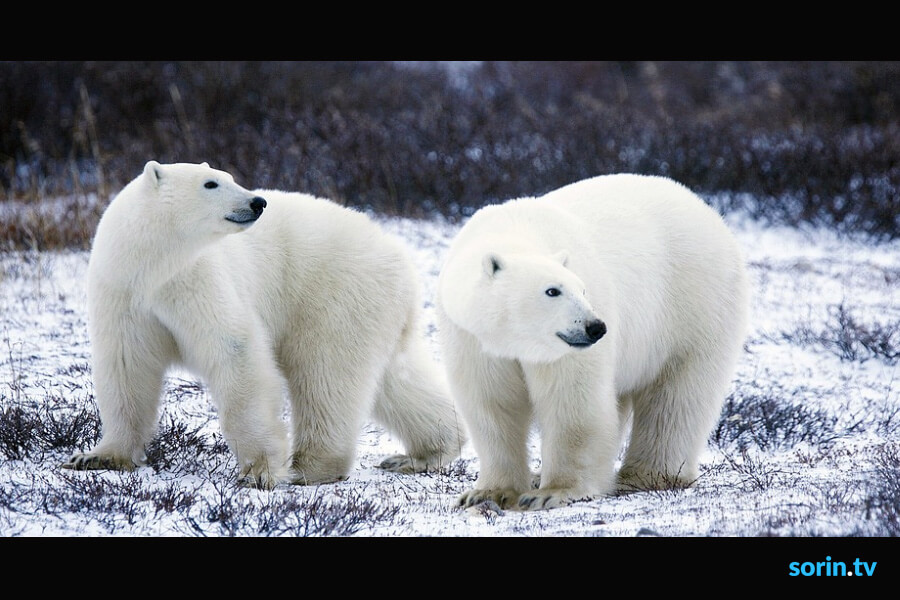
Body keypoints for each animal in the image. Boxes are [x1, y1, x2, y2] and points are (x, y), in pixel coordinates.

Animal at [63, 161, 464, 489]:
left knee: (325, 374)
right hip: (375, 308)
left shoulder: (197, 280)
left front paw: (259, 472)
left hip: (335, 293)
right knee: (395, 379)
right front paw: (97, 456)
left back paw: (310, 467)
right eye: (211, 183)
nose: (258, 202)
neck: (152, 265)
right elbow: (126, 366)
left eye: (230, 177)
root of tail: (400, 256)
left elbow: (235, 351)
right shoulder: (123, 292)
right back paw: (424, 453)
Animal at [436, 173, 749, 510]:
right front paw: (486, 493)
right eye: (552, 290)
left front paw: (552, 492)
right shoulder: (472, 338)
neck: (514, 231)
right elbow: (492, 404)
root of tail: (707, 210)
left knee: (677, 396)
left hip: (694, 304)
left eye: (582, 289)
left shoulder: (565, 349)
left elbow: (573, 401)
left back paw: (647, 475)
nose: (595, 327)